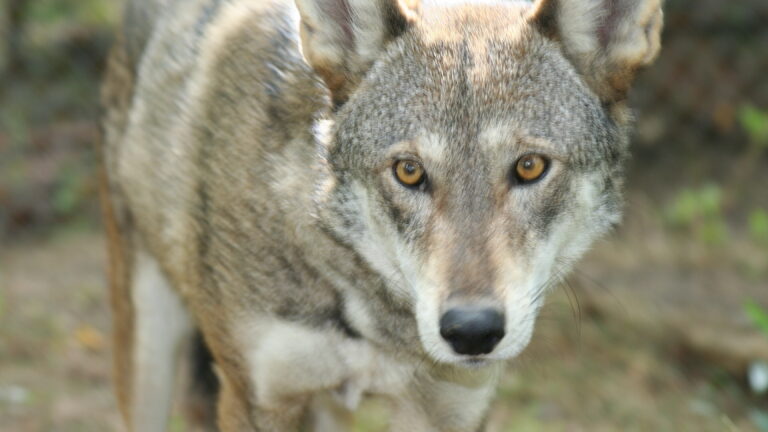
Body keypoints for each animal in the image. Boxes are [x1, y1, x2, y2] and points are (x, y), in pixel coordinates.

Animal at [100, 0, 662, 430]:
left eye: (530, 166)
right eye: (409, 171)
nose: (472, 331)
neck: (373, 316)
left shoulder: (451, 411)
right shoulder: (258, 400)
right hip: (149, 349)